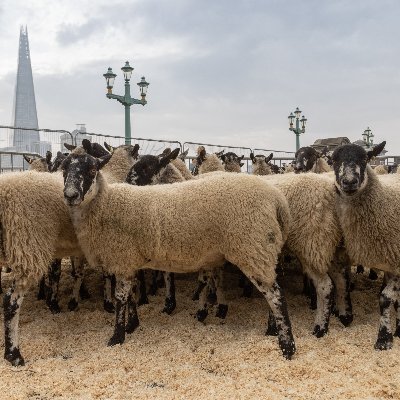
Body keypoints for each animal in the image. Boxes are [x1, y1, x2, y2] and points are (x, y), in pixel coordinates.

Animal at [61, 152, 296, 360]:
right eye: (63, 169)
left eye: (92, 170)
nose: (70, 196)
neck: (105, 203)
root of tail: (278, 201)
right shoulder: (130, 260)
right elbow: (132, 294)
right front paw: (132, 325)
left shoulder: (122, 257)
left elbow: (121, 299)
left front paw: (117, 337)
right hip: (262, 250)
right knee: (273, 291)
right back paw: (273, 330)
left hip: (253, 247)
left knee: (276, 296)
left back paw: (287, 346)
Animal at [332, 141, 400, 350]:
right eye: (333, 160)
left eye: (365, 158)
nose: (349, 182)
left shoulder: (397, 260)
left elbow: (386, 298)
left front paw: (384, 338)